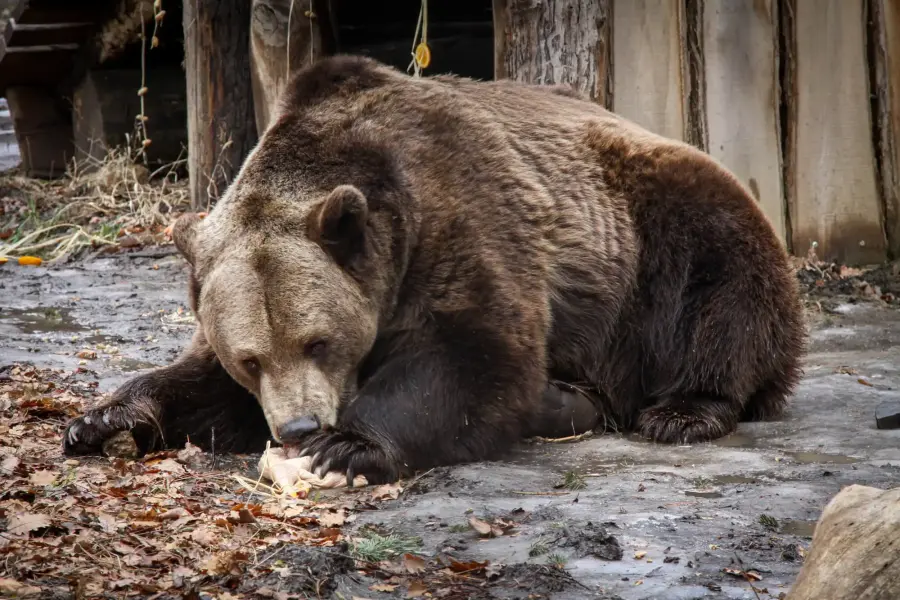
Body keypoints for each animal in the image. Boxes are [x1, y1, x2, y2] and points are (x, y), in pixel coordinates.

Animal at [65, 55, 808, 488]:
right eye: (251, 358)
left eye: (318, 341)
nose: (300, 429)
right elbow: (199, 385)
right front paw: (99, 420)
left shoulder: (454, 216)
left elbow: (470, 350)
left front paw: (348, 445)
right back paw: (567, 401)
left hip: (660, 231)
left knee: (723, 295)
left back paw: (683, 409)